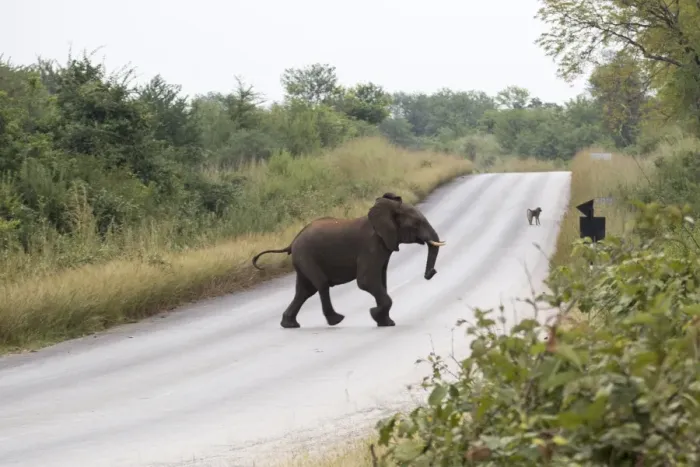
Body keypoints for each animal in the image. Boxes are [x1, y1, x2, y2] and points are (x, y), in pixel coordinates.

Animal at [251, 192, 446, 328]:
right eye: (417, 224)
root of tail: (292, 242)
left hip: (302, 259)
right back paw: (336, 320)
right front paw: (375, 314)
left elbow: (381, 280)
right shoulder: (371, 247)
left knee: (305, 291)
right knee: (320, 284)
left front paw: (386, 322)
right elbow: (366, 281)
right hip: (306, 256)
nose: (430, 273)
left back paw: (290, 325)